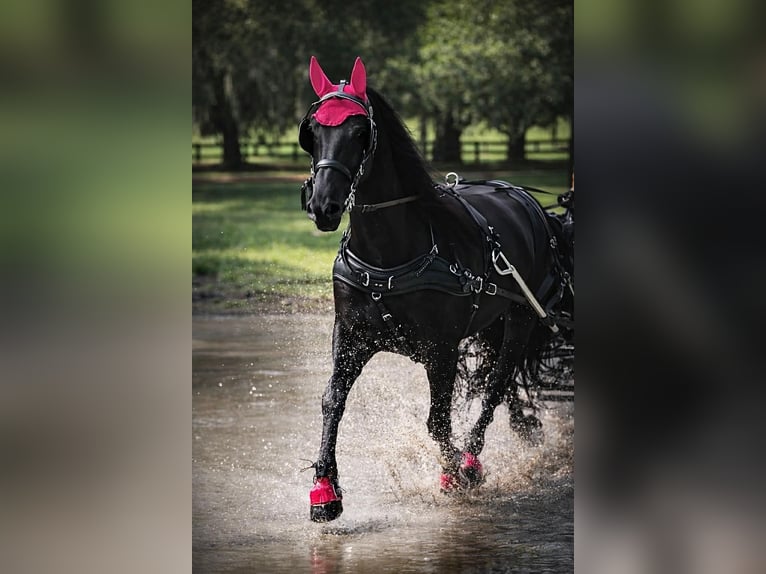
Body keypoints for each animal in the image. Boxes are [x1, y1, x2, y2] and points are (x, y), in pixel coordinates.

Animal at [298, 56, 573, 522]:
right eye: (313, 130)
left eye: (359, 132)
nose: (324, 206)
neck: (388, 255)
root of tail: (527, 200)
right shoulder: (351, 336)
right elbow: (332, 400)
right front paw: (324, 490)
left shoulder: (440, 348)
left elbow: (438, 421)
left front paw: (453, 472)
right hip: (491, 322)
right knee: (496, 382)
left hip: (520, 318)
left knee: (496, 384)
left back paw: (472, 461)